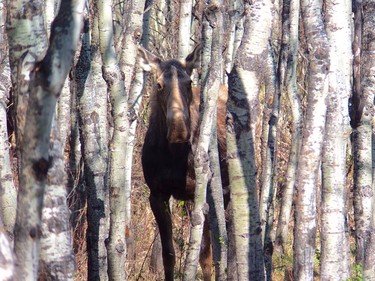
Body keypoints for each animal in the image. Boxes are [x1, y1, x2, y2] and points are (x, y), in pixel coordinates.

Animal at [140, 44, 231, 280]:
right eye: (159, 84)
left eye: (189, 82)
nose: (179, 131)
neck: (174, 155)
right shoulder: (157, 194)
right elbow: (169, 254)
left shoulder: (202, 194)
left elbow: (205, 256)